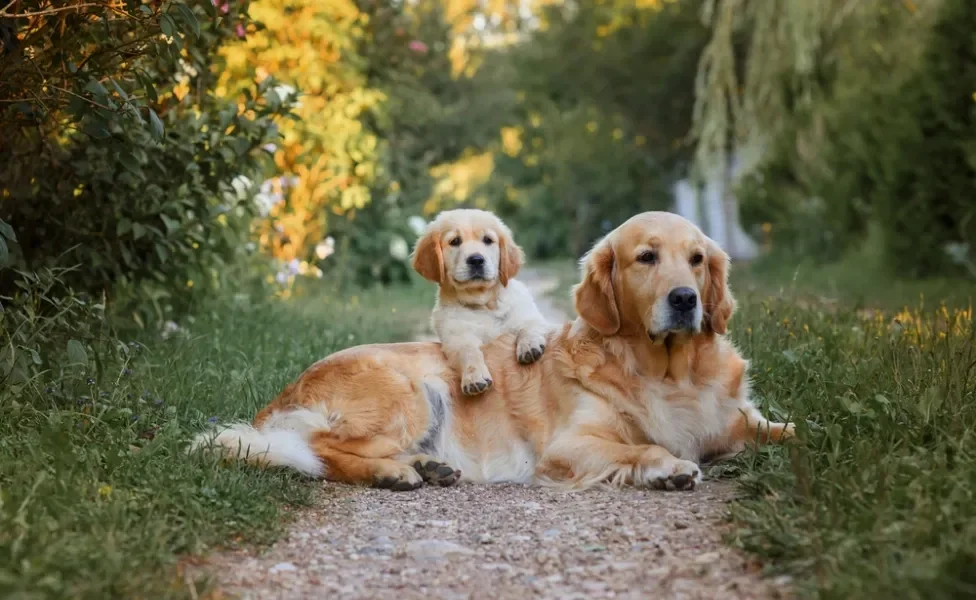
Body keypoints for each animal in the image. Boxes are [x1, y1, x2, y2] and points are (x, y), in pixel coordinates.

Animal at [410, 209, 548, 396]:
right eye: (455, 241)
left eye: (487, 240)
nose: (476, 259)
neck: (484, 304)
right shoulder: (457, 337)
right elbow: (469, 352)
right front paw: (474, 377)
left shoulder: (528, 316)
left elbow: (528, 328)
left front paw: (529, 345)